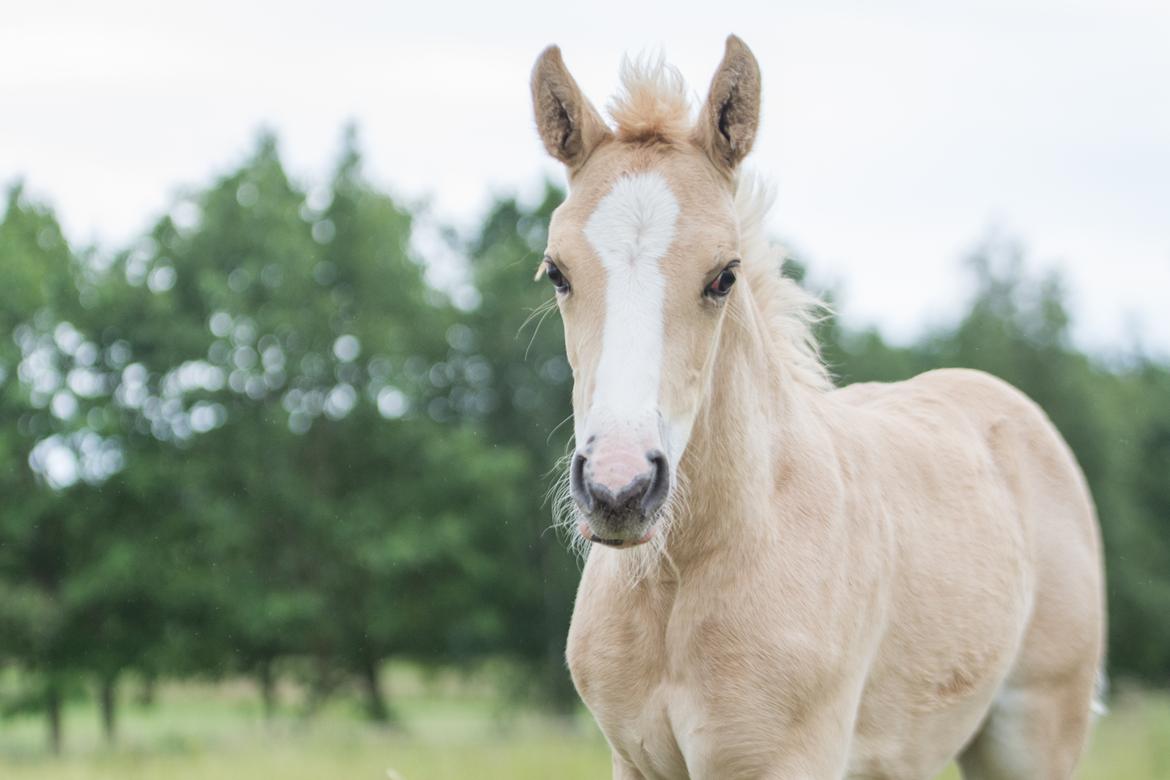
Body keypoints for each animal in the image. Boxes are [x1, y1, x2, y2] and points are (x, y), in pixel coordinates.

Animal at [531, 35, 1104, 780]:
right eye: (557, 272)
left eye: (724, 275)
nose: (619, 489)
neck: (683, 574)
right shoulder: (634, 761)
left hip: (1034, 736)